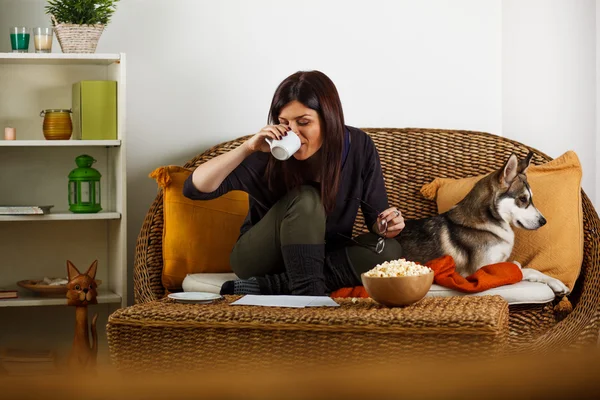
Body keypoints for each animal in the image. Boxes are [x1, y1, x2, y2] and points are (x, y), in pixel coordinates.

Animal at [396, 152, 568, 296]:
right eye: (523, 199)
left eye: (529, 198)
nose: (543, 221)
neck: (487, 224)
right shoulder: (481, 271)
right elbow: (523, 269)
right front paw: (555, 282)